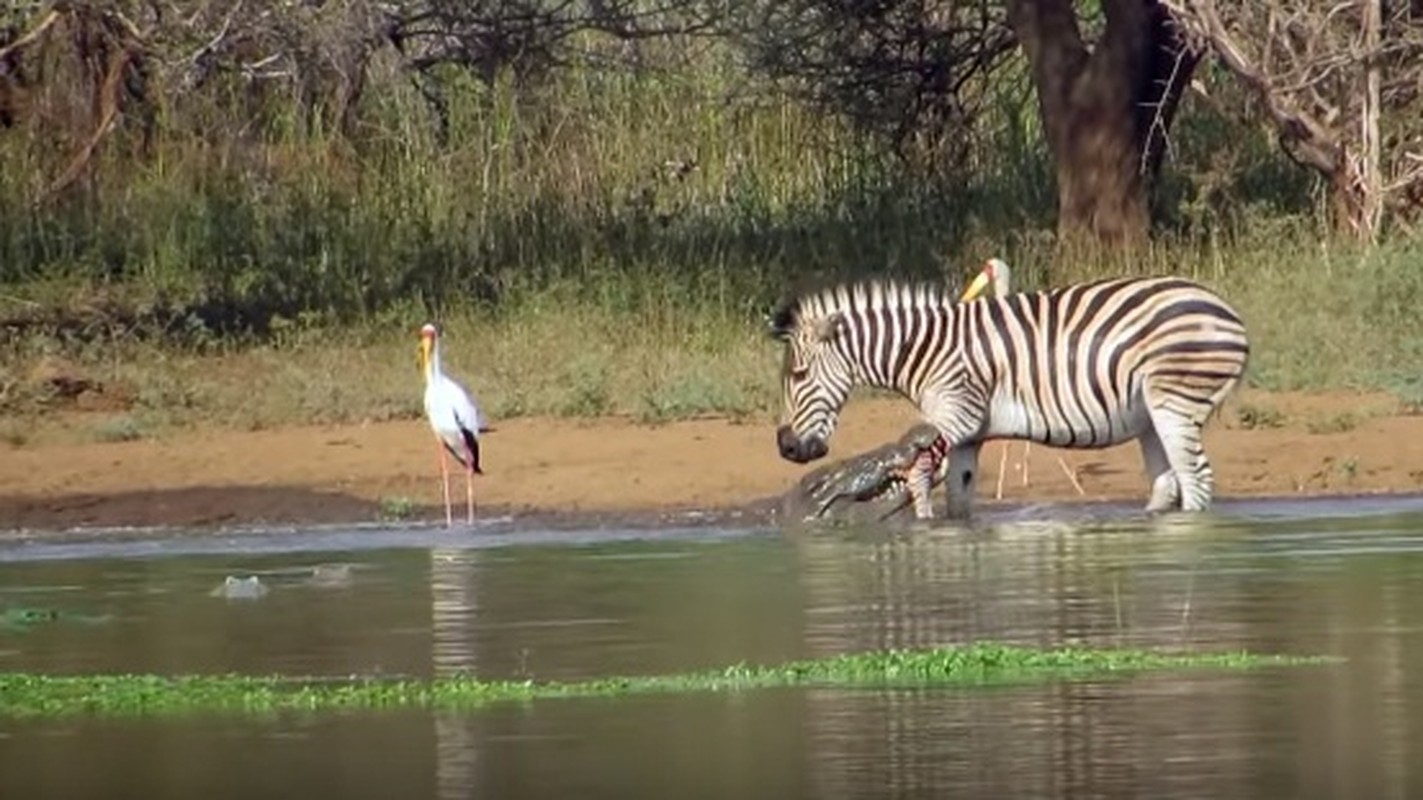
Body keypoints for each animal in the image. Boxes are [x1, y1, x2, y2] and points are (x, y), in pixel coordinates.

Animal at [774, 270, 1252, 512]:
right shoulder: (968, 434)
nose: (787, 448)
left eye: (798, 374)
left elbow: (920, 477)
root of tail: (1227, 311)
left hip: (1175, 401)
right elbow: (958, 493)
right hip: (1150, 413)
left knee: (1195, 478)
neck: (926, 349)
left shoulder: (956, 413)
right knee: (1166, 483)